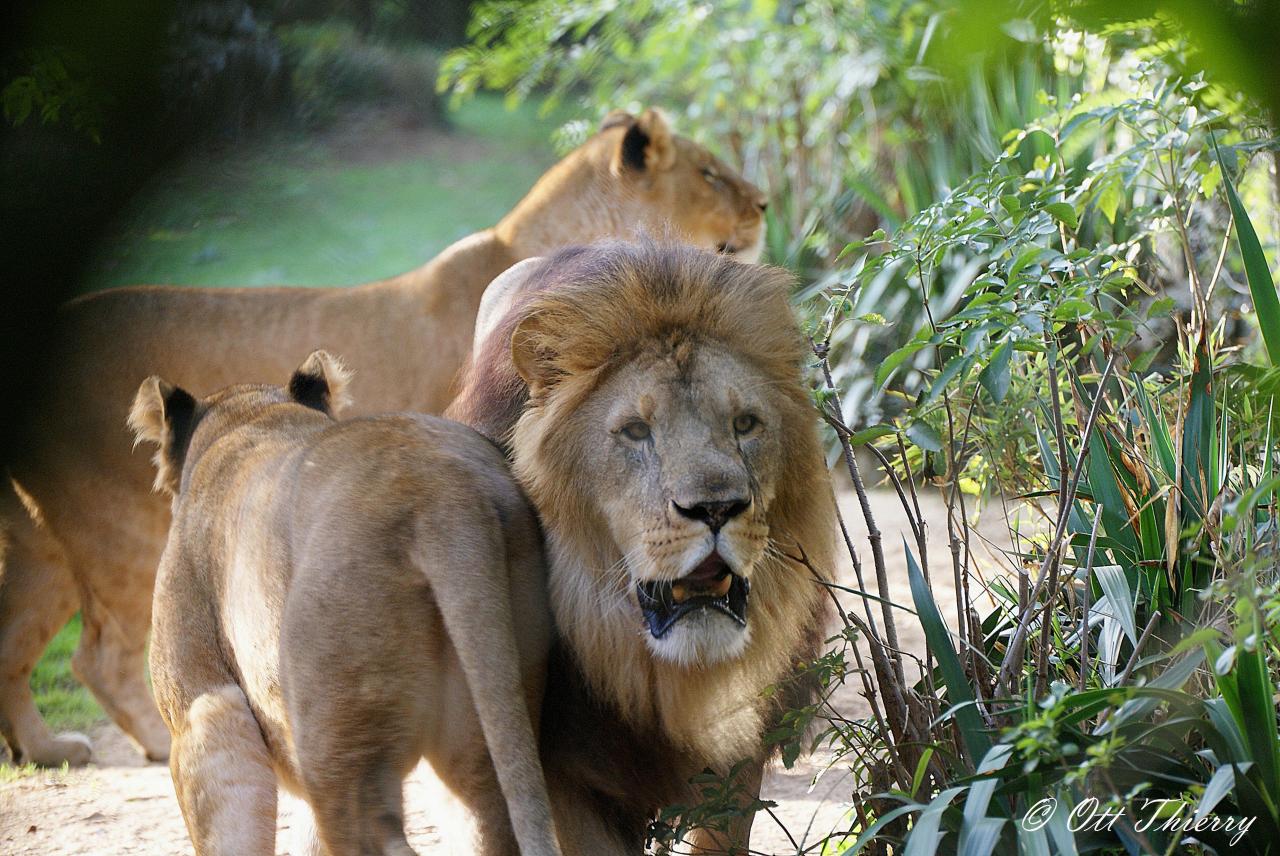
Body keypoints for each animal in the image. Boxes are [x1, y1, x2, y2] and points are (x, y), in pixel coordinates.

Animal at [0, 103, 762, 762]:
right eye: (708, 174)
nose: (762, 205)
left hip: (44, 545)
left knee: (16, 640)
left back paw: (44, 749)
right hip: (119, 532)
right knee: (100, 655)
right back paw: (161, 746)